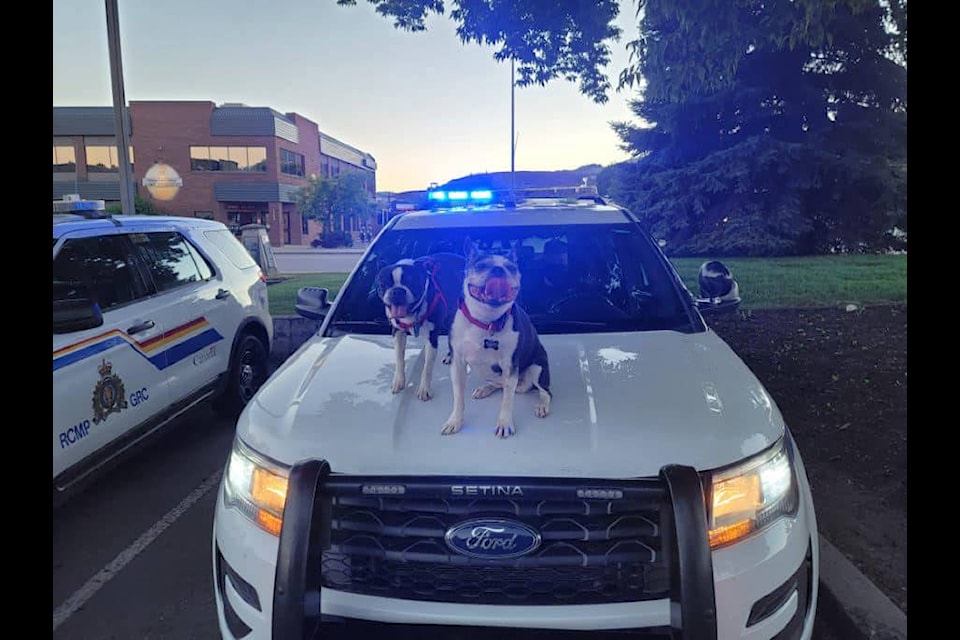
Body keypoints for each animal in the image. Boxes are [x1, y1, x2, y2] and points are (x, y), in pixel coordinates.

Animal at [376, 251, 464, 398]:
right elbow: (399, 359)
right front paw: (399, 381)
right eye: (384, 284)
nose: (397, 291)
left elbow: (427, 367)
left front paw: (424, 390)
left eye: (412, 282)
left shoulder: (431, 338)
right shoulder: (397, 333)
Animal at [440, 238, 548, 438]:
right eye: (481, 265)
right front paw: (455, 421)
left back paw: (542, 405)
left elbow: (507, 401)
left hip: (538, 368)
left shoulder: (510, 366)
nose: (498, 269)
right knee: (499, 384)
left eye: (511, 267)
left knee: (544, 391)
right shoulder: (457, 364)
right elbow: (458, 397)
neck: (486, 321)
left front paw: (505, 423)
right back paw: (485, 389)